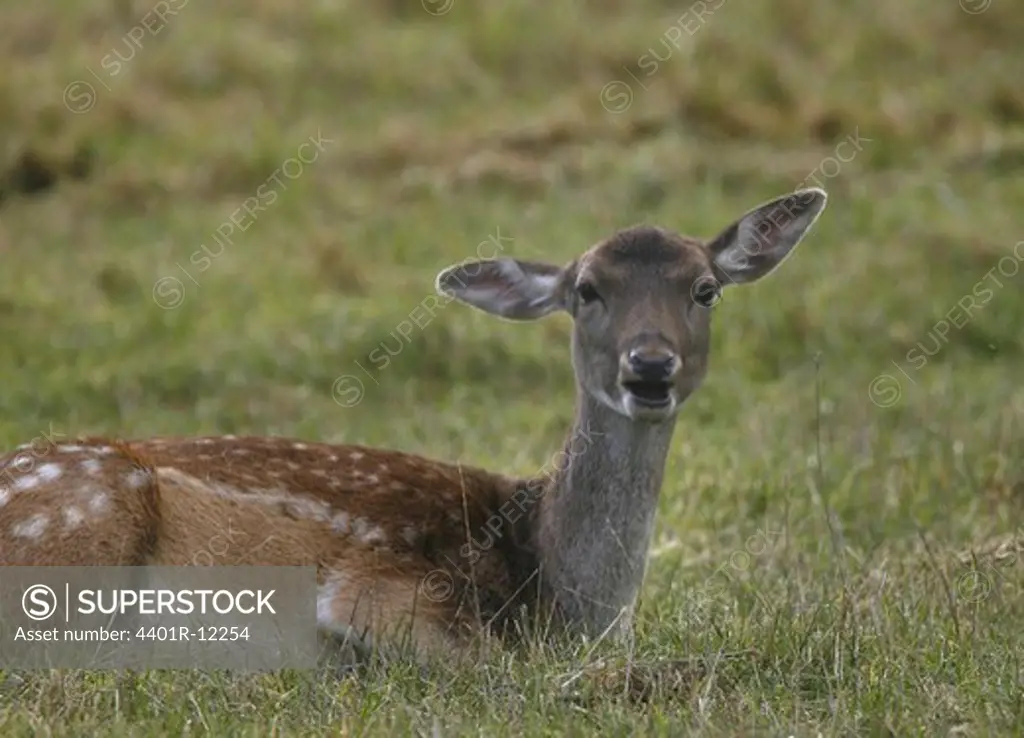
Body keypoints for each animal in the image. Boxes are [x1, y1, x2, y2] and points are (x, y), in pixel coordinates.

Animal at [0, 188, 823, 663]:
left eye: (706, 289)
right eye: (587, 290)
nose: (648, 366)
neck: (562, 597)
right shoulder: (385, 588)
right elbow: (491, 662)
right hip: (84, 524)